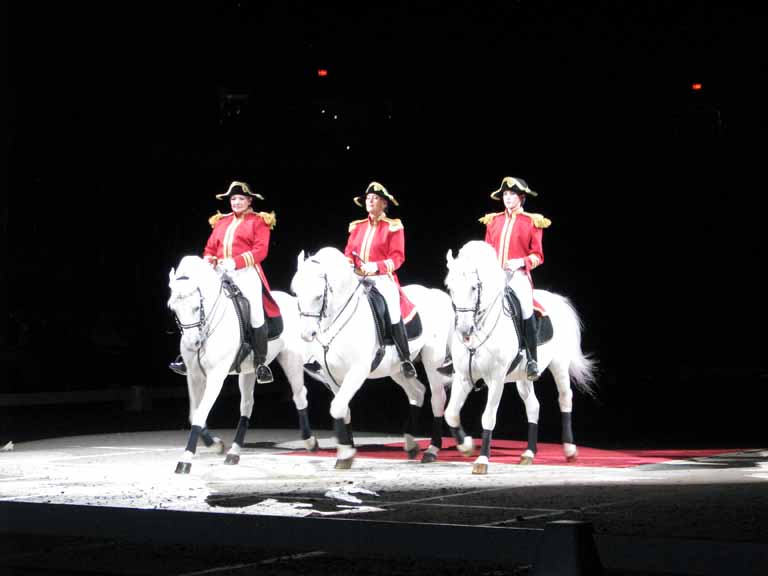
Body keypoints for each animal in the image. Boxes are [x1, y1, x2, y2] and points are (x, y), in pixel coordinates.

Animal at [168, 255, 320, 472]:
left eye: (197, 307)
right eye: (174, 309)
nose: (192, 343)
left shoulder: (216, 376)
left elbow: (200, 414)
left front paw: (186, 459)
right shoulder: (194, 375)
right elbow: (194, 413)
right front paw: (215, 444)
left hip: (291, 360)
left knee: (300, 396)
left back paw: (310, 441)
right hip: (248, 371)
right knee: (247, 405)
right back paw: (234, 451)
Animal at [292, 248, 452, 468]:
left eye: (318, 296)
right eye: (296, 293)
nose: (307, 334)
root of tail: (436, 294)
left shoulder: (357, 371)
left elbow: (337, 407)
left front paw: (345, 455)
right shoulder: (332, 375)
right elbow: (343, 409)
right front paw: (346, 449)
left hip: (433, 360)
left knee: (437, 399)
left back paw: (432, 450)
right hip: (397, 369)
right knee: (417, 392)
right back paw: (411, 444)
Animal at [440, 241, 596, 474]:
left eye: (474, 288)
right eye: (450, 288)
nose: (465, 330)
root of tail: (556, 299)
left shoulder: (496, 379)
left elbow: (488, 416)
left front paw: (482, 460)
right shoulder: (463, 377)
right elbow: (450, 413)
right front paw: (466, 446)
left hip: (559, 365)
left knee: (565, 398)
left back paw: (569, 449)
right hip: (523, 378)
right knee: (533, 406)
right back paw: (528, 453)